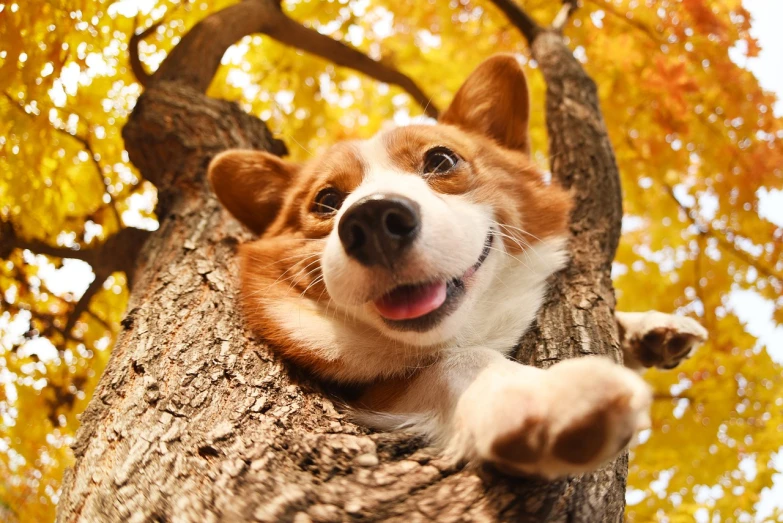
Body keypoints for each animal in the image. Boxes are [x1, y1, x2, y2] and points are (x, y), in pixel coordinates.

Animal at [208, 54, 712, 478]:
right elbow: (462, 363)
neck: (461, 329)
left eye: (441, 159)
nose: (373, 221)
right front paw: (548, 398)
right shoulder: (376, 390)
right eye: (327, 200)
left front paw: (648, 328)